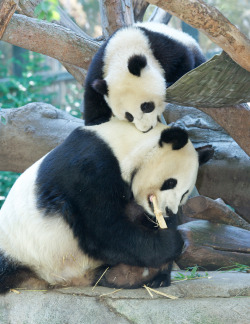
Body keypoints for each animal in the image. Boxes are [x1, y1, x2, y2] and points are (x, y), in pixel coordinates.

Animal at [0, 119, 212, 294]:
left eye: (185, 193)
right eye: (170, 183)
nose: (168, 211)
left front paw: (162, 268)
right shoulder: (88, 168)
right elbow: (102, 229)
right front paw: (171, 242)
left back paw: (131, 275)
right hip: (16, 249)